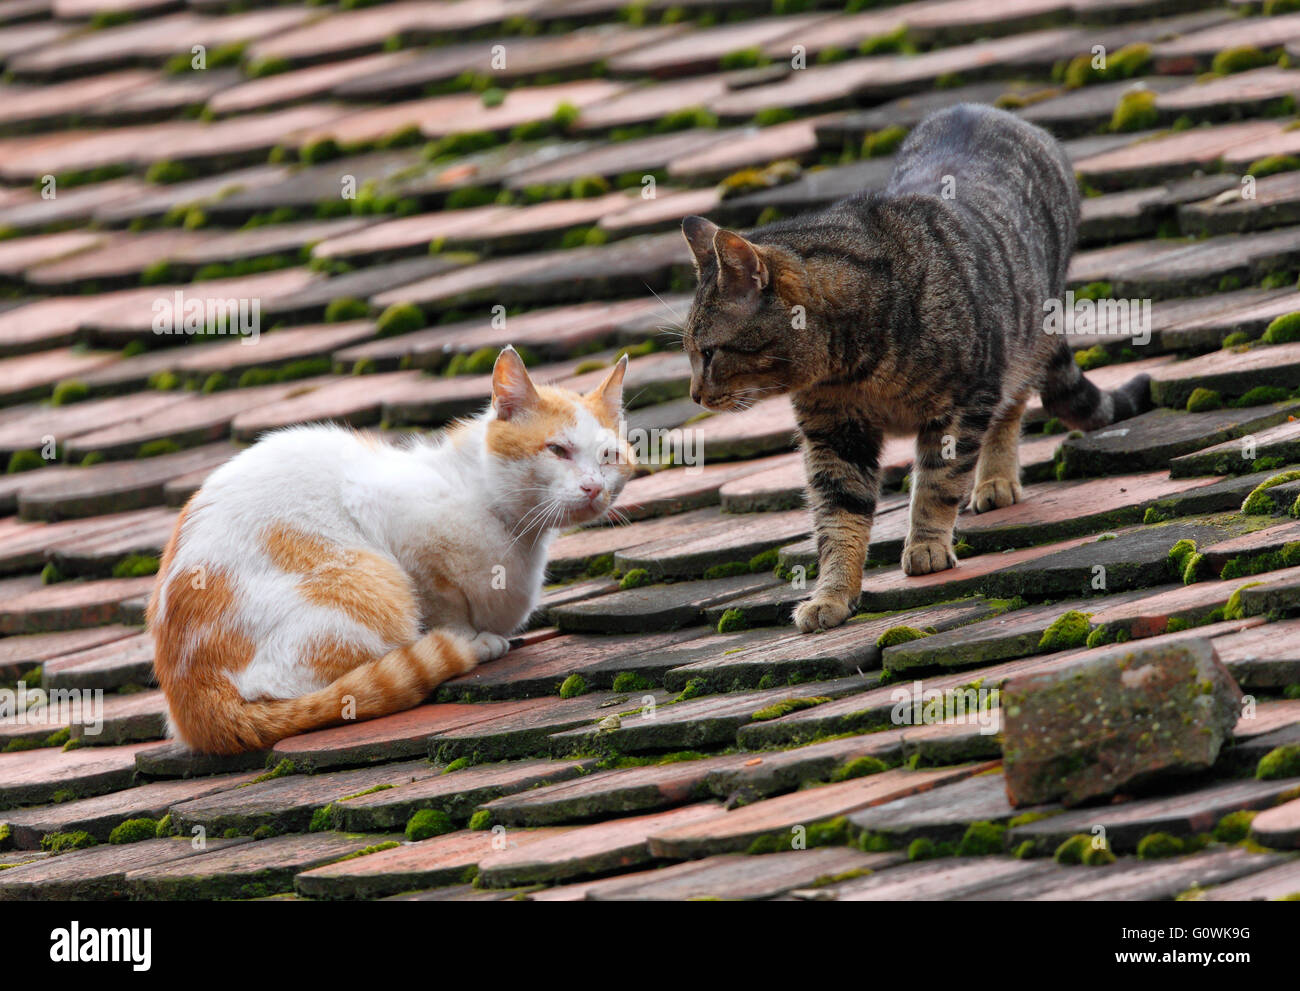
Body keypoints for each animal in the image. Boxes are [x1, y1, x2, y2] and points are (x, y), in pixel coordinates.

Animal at [147, 345, 634, 749]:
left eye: (608, 457)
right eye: (558, 450)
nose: (593, 487)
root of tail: (195, 707)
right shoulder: (390, 518)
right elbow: (445, 608)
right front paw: (468, 639)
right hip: (366, 588)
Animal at [681, 104, 1149, 629]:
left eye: (708, 352)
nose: (695, 394)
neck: (851, 368)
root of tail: (981, 108)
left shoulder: (965, 403)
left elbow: (937, 483)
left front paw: (926, 544)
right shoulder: (834, 433)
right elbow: (838, 516)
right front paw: (832, 594)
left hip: (1020, 343)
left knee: (1010, 410)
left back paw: (996, 480)